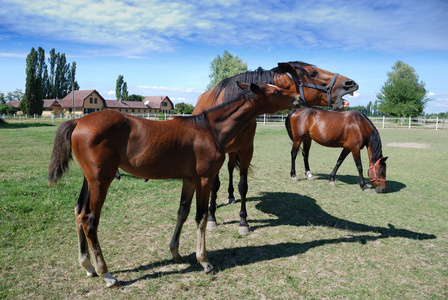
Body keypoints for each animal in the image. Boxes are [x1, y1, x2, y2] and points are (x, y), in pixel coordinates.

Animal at [47, 82, 302, 288]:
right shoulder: (205, 178)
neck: (210, 129)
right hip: (101, 180)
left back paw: (88, 266)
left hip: (89, 179)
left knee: (79, 211)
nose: (299, 97)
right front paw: (204, 261)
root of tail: (78, 120)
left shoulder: (189, 180)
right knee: (90, 219)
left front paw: (176, 253)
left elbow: (182, 213)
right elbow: (201, 217)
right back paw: (106, 274)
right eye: (277, 91)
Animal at [191, 61, 358, 234]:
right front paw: (212, 218)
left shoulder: (246, 151)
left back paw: (230, 195)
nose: (350, 83)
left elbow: (243, 186)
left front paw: (243, 222)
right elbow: (215, 185)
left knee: (231, 168)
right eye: (313, 73)